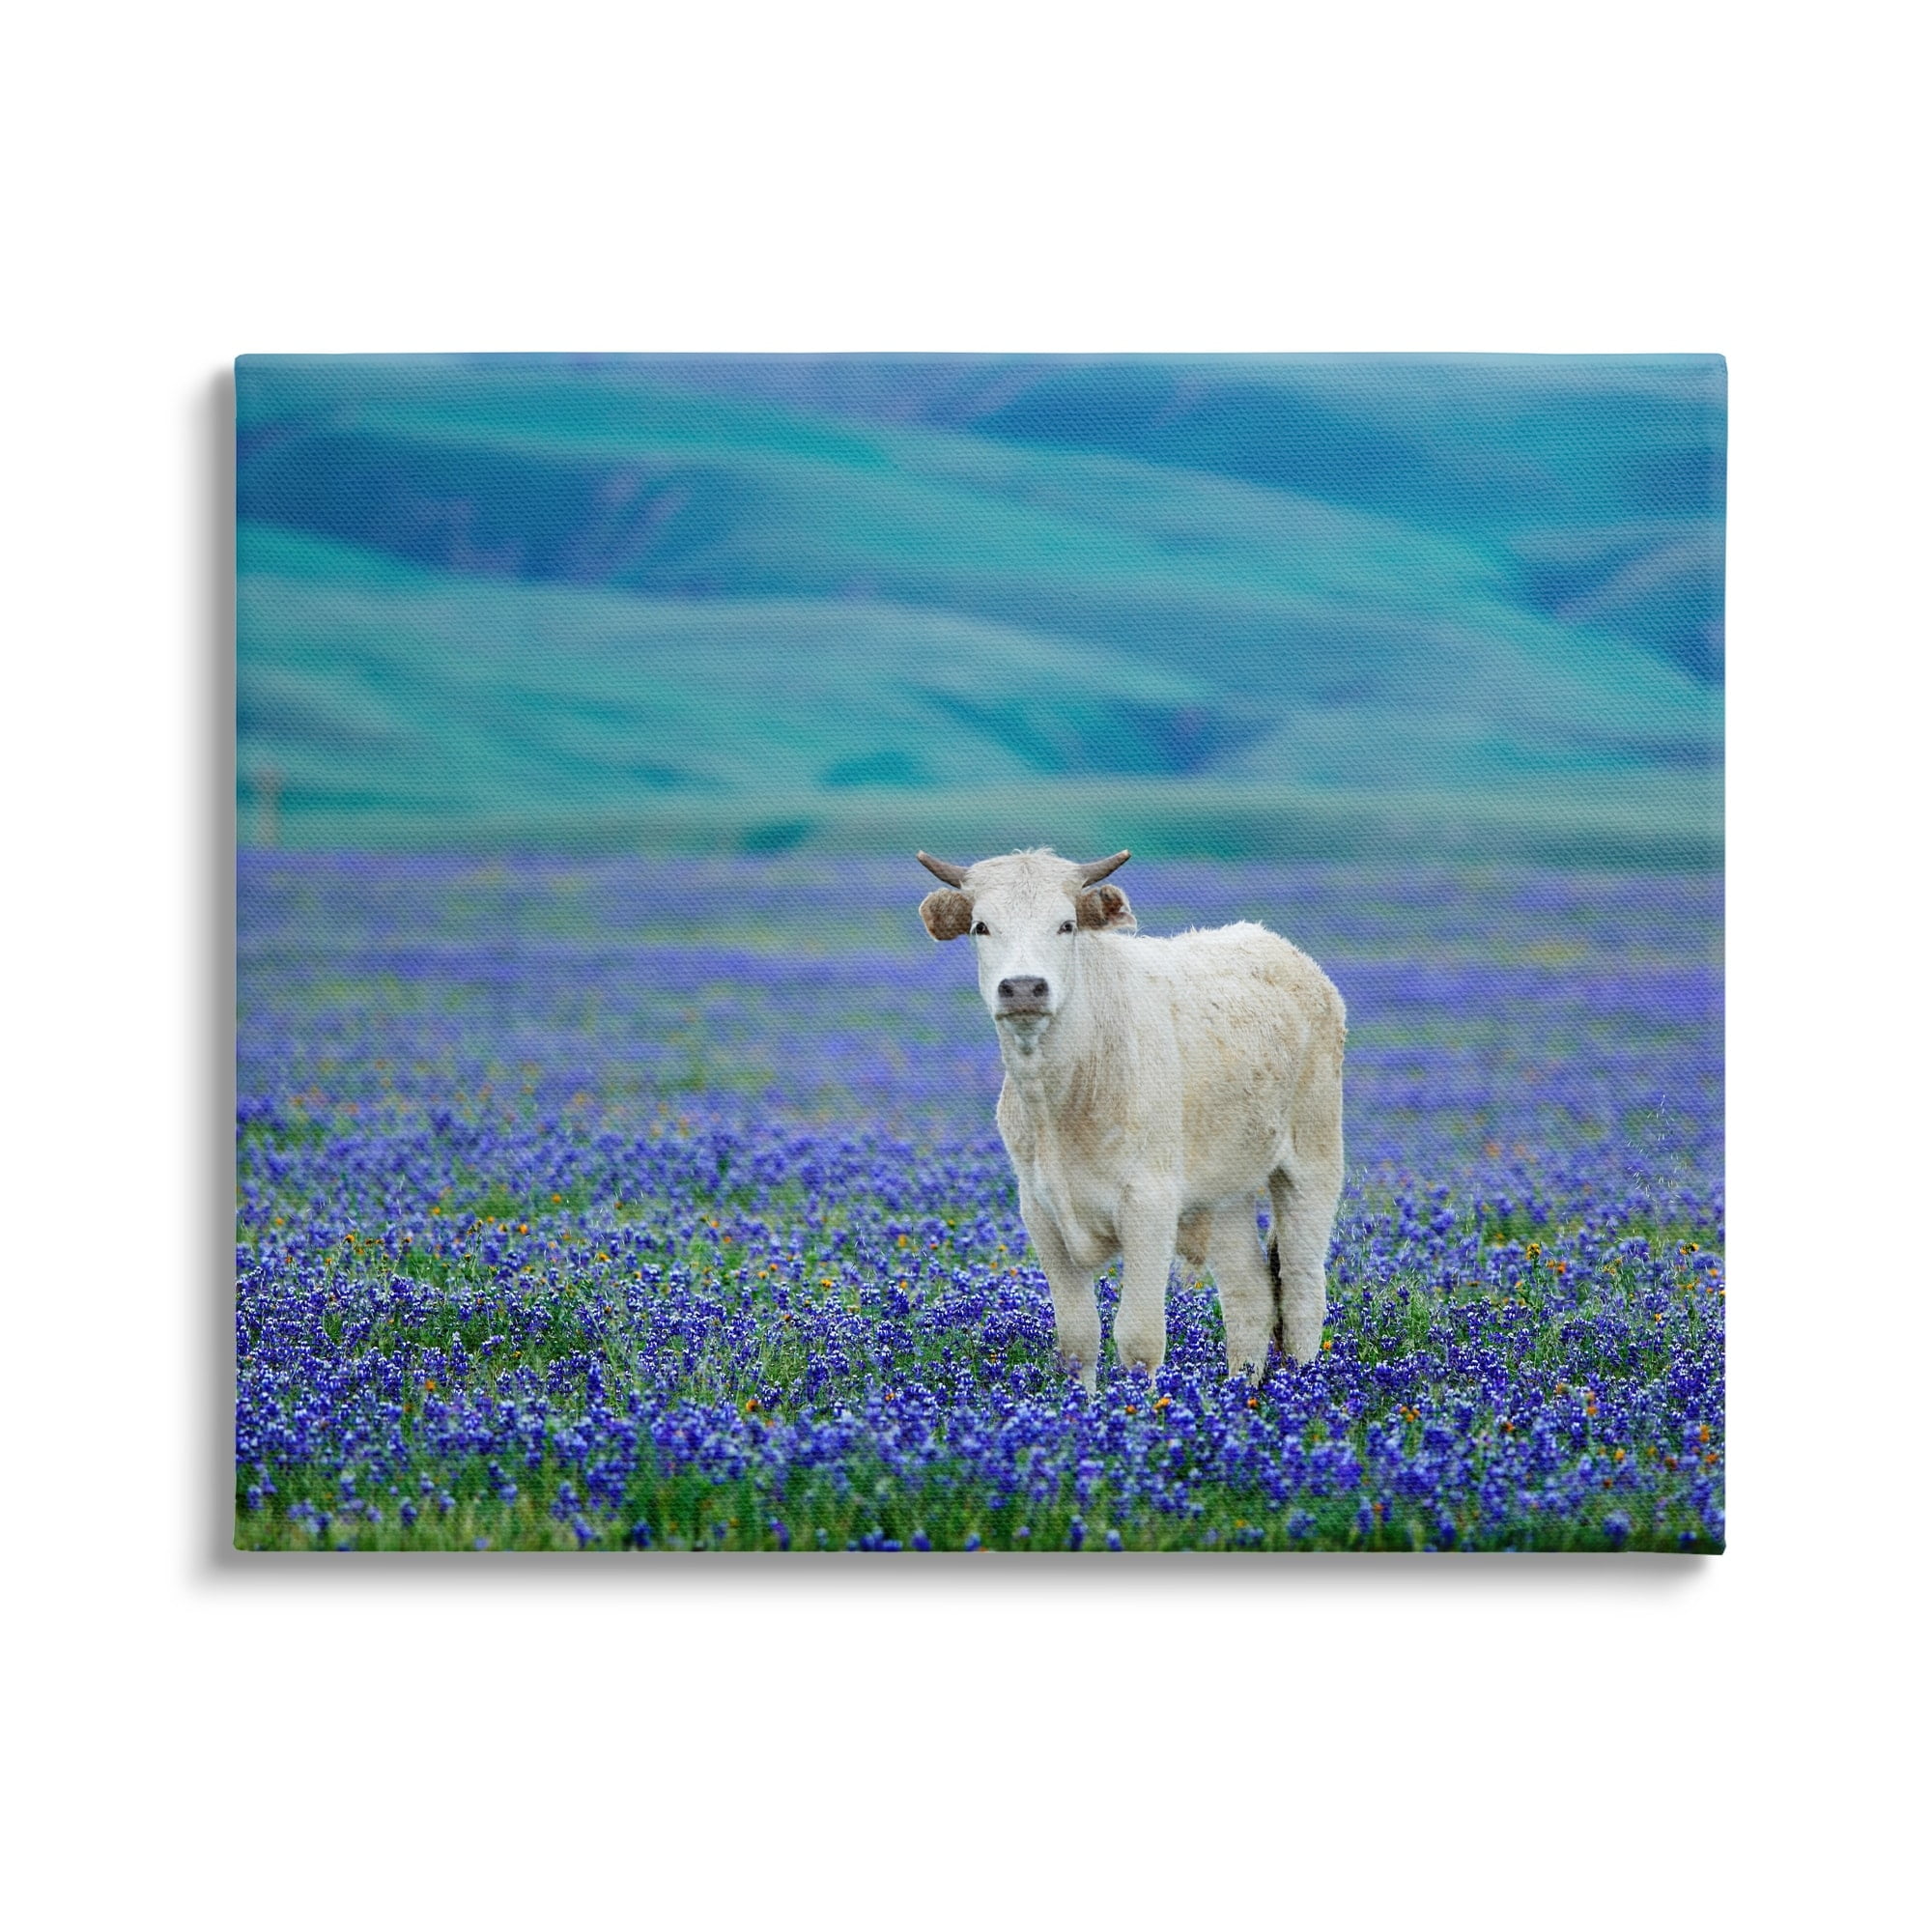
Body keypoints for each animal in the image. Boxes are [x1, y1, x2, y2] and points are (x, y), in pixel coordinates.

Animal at [917, 846, 1345, 1391]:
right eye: (981, 926)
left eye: (1067, 925)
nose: (1024, 988)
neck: (1061, 1095)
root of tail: (1279, 946)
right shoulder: (1040, 1211)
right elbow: (1077, 1338)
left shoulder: (1148, 1205)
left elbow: (1139, 1337)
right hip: (1226, 1193)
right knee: (1249, 1297)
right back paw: (1243, 1395)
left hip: (1311, 1165)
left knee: (1302, 1291)